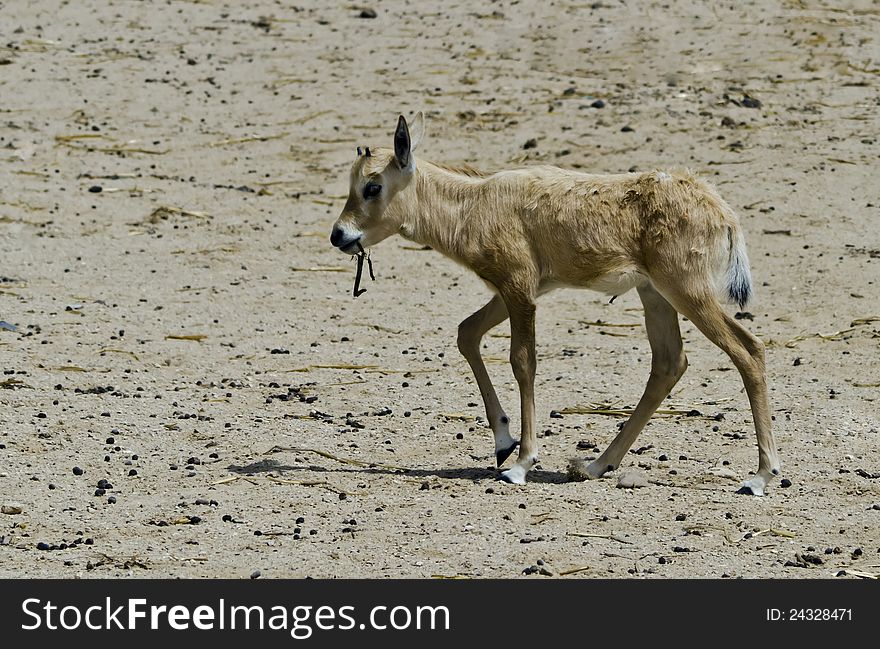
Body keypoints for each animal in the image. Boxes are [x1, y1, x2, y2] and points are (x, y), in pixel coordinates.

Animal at [330, 114, 784, 494]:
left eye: (373, 186)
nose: (339, 235)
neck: (475, 203)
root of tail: (720, 209)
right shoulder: (518, 290)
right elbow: (466, 333)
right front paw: (503, 443)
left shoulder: (518, 289)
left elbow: (523, 361)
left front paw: (520, 463)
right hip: (655, 294)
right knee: (669, 362)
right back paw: (596, 465)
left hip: (687, 292)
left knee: (748, 350)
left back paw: (760, 477)